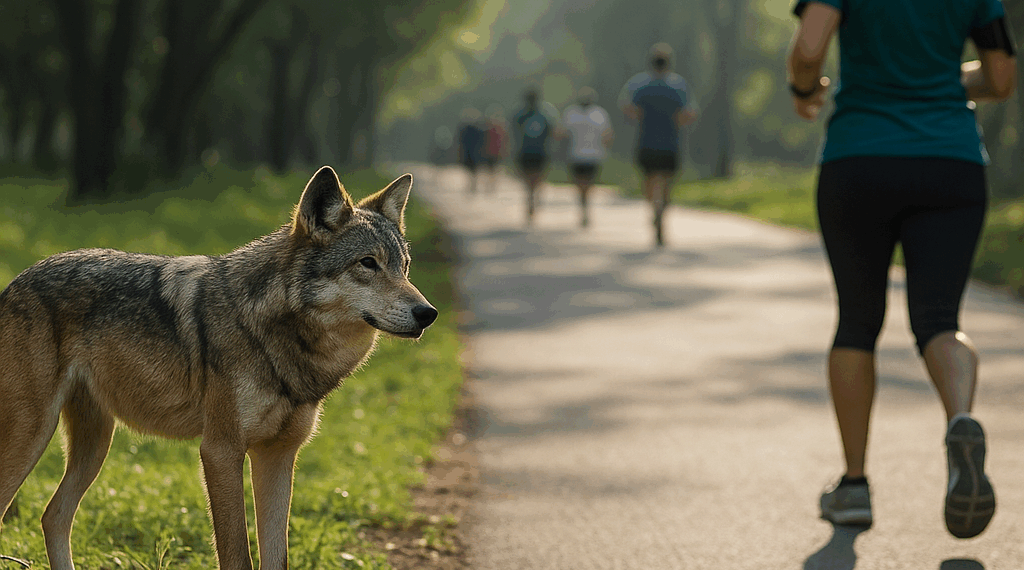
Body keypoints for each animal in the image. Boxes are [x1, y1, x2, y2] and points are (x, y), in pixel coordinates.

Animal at [0, 166, 438, 570]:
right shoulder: (220, 451)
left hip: (95, 443)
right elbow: (236, 554)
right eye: (368, 263)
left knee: (53, 516)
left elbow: (276, 557)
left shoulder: (278, 455)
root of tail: (15, 282)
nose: (428, 313)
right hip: (33, 435)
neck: (274, 336)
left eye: (405, 267)